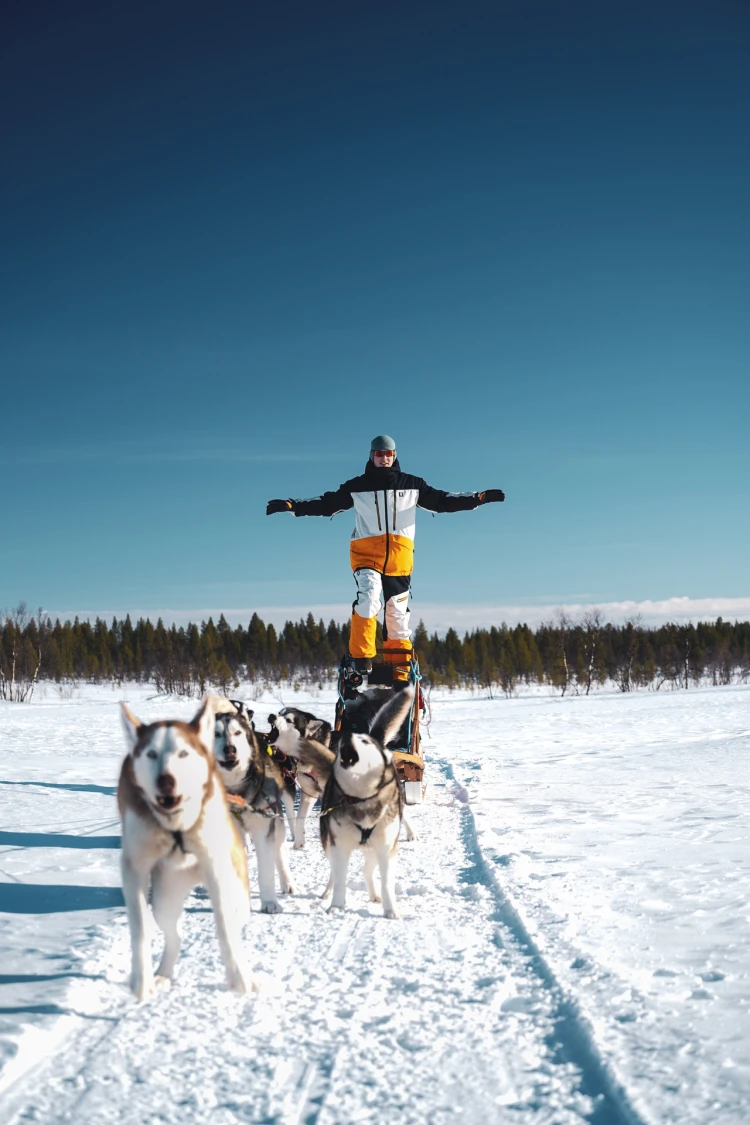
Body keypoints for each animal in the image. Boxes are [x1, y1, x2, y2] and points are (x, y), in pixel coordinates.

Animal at [118, 693, 255, 1003]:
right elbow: (140, 927)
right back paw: (163, 975)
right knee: (174, 935)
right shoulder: (134, 870)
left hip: (237, 893)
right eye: (151, 754)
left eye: (183, 754)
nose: (166, 780)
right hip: (165, 900)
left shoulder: (215, 866)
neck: (175, 825)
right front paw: (142, 981)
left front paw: (240, 977)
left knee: (236, 923)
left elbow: (225, 929)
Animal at [210, 693, 296, 913]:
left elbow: (266, 870)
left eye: (237, 733)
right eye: (215, 734)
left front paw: (269, 902)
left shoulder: (264, 829)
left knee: (280, 852)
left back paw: (287, 882)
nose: (229, 749)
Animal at [319, 684, 413, 913]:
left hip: (374, 849)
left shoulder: (387, 848)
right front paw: (336, 907)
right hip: (330, 845)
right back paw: (327, 894)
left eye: (365, 743)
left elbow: (387, 883)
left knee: (366, 870)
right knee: (334, 874)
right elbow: (339, 879)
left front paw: (391, 911)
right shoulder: (339, 847)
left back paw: (374, 896)